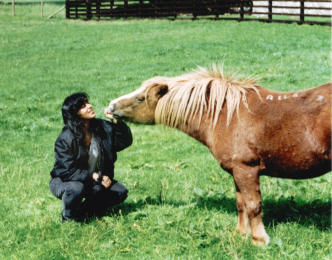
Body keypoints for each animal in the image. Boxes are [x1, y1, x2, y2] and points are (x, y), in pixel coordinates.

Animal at [107, 66, 330, 245]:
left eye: (140, 98)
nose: (110, 107)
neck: (226, 115)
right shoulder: (237, 173)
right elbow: (241, 204)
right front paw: (241, 234)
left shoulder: (247, 170)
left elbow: (253, 205)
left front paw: (259, 240)